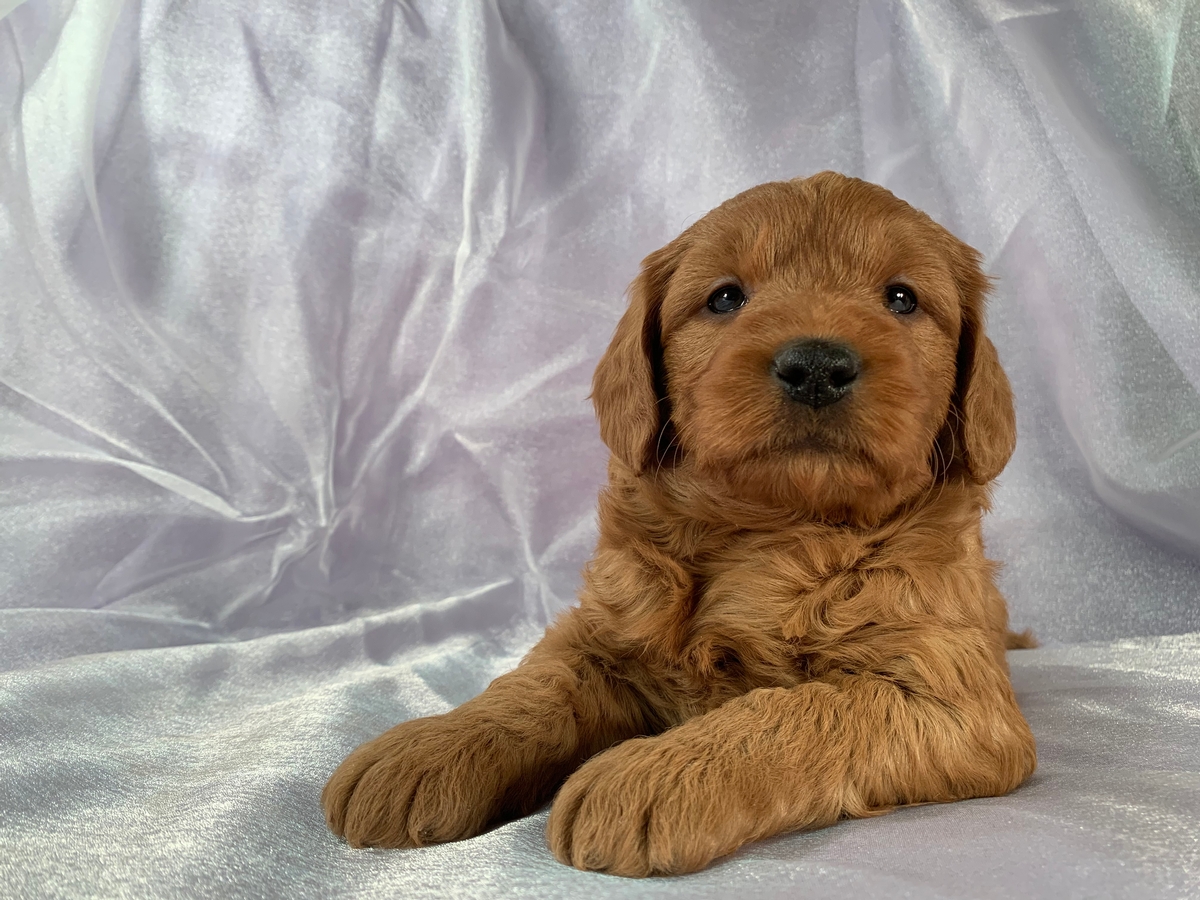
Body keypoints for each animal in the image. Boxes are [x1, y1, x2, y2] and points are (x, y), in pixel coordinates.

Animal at [324, 172, 1036, 878]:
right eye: (725, 298)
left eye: (902, 299)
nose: (816, 366)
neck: (775, 529)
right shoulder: (600, 632)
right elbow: (536, 684)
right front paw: (431, 746)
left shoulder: (950, 695)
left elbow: (802, 707)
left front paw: (650, 773)